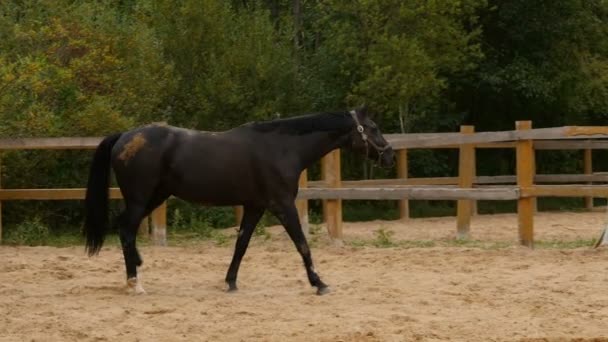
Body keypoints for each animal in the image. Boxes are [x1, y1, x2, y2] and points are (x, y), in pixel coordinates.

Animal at [84, 106, 394, 294]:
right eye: (373, 127)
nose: (389, 154)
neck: (282, 148)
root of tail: (124, 136)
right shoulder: (282, 206)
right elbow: (302, 244)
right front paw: (319, 283)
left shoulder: (255, 207)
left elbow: (241, 245)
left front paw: (230, 282)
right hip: (141, 199)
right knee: (126, 230)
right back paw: (134, 283)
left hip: (156, 197)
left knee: (124, 228)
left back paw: (137, 267)